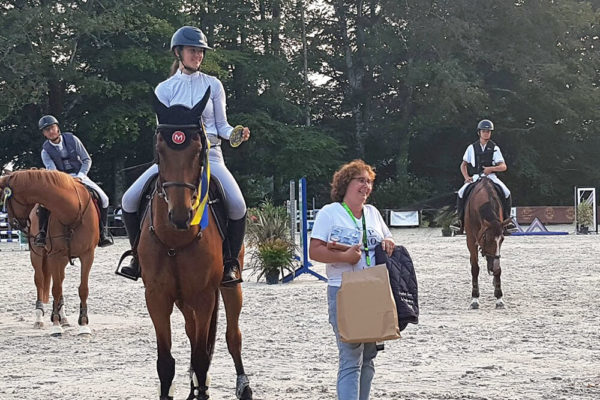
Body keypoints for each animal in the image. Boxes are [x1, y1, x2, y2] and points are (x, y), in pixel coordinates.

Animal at [0, 170, 99, 336]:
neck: (71, 212)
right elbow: (55, 289)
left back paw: (63, 317)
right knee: (40, 281)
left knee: (60, 280)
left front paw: (83, 324)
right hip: (38, 255)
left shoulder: (87, 255)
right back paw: (40, 318)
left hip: (63, 260)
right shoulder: (54, 255)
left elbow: (83, 289)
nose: (14, 223)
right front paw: (56, 324)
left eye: (6, 199)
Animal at [139, 90, 252, 400]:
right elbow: (166, 362)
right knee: (192, 336)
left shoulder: (204, 297)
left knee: (232, 337)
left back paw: (243, 386)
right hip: (183, 300)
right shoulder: (157, 297)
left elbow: (202, 357)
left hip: (228, 287)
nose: (180, 215)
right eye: (159, 148)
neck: (175, 240)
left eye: (199, 148)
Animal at [464, 176, 510, 310]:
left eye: (502, 239)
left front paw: (499, 297)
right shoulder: (471, 240)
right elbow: (475, 268)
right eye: (486, 238)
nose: (493, 267)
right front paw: (474, 299)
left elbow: (498, 268)